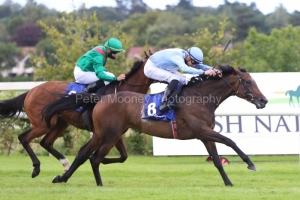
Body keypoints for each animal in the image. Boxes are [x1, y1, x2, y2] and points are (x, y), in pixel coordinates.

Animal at [0, 50, 154, 177]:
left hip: (60, 123)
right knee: (24, 138)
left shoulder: (116, 132)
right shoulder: (106, 131)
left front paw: (101, 159)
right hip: (42, 124)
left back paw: (66, 164)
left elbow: (124, 156)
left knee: (46, 142)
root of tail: (30, 91)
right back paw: (36, 168)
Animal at [42, 65, 268, 186]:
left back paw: (62, 178)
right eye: (249, 82)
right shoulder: (202, 130)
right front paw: (250, 163)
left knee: (83, 155)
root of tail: (100, 99)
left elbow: (217, 161)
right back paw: (99, 184)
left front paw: (228, 183)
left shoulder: (205, 134)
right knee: (95, 158)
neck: (200, 97)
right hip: (110, 135)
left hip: (101, 134)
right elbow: (230, 141)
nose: (263, 100)